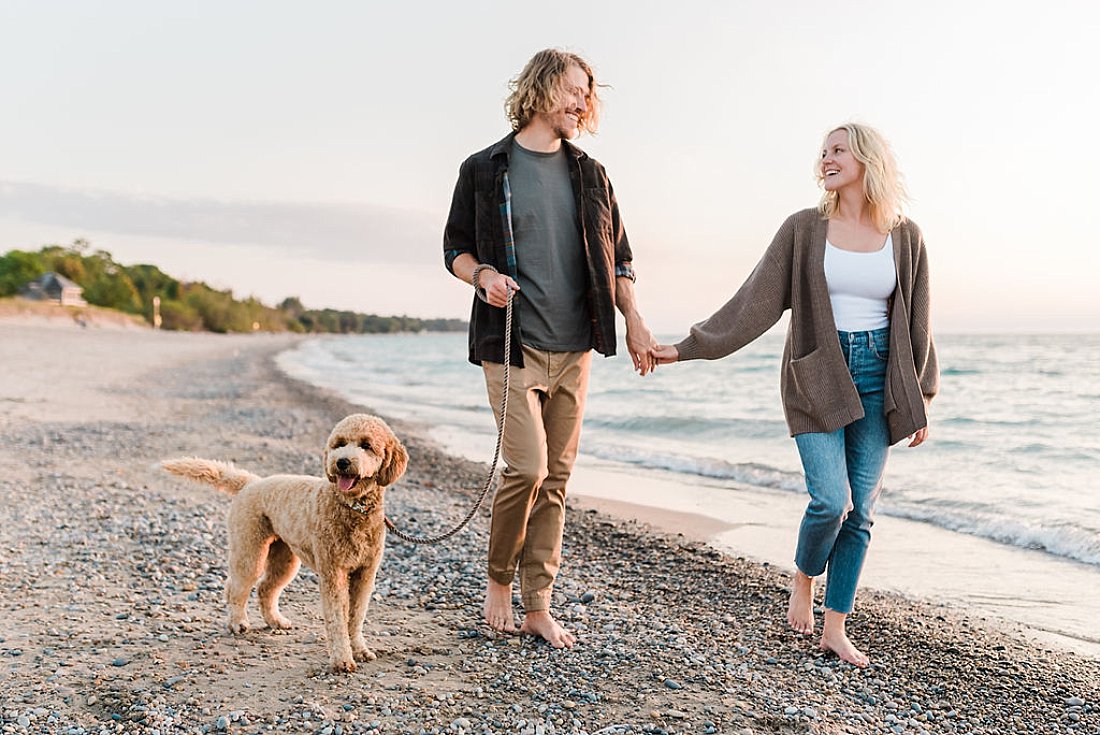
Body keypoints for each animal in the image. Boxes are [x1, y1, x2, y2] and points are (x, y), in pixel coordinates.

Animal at [160, 413, 407, 673]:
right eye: (339, 444)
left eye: (366, 445)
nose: (341, 462)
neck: (354, 507)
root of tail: (251, 483)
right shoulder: (333, 573)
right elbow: (337, 619)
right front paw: (342, 659)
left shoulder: (365, 573)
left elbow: (356, 616)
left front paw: (359, 650)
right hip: (250, 550)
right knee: (237, 587)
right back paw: (238, 622)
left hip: (284, 558)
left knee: (265, 588)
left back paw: (275, 621)